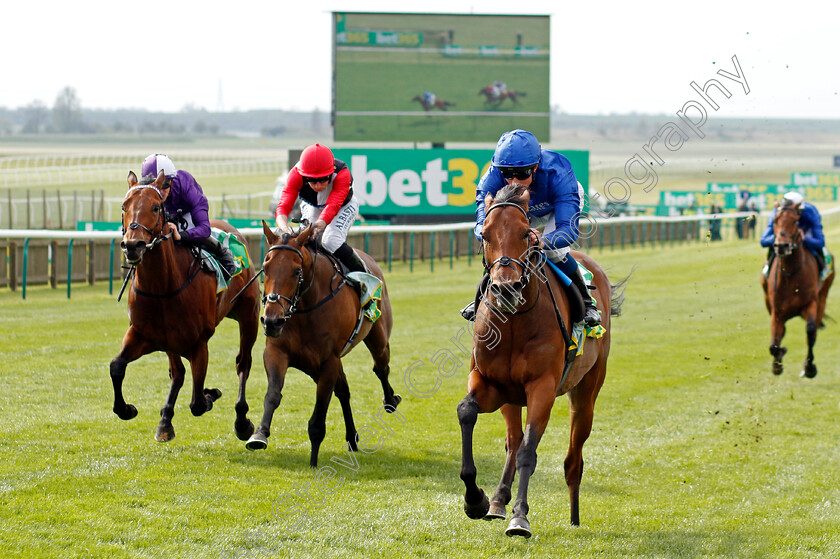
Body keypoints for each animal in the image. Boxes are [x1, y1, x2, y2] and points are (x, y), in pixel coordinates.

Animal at [110, 173, 260, 444]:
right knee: (177, 373)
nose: (133, 246)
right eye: (124, 207)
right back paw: (165, 420)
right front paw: (127, 409)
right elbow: (117, 366)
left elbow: (198, 403)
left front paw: (211, 394)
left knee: (243, 362)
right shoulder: (144, 335)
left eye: (156, 207)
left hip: (249, 315)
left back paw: (242, 421)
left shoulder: (198, 343)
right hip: (170, 341)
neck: (163, 286)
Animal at [456, 184, 628, 540]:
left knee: (572, 458)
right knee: (512, 440)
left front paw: (520, 517)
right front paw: (476, 500)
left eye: (526, 233)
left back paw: (574, 516)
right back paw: (498, 501)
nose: (505, 289)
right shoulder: (489, 382)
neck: (513, 322)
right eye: (485, 234)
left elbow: (528, 451)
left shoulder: (543, 388)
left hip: (586, 391)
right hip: (511, 397)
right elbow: (467, 412)